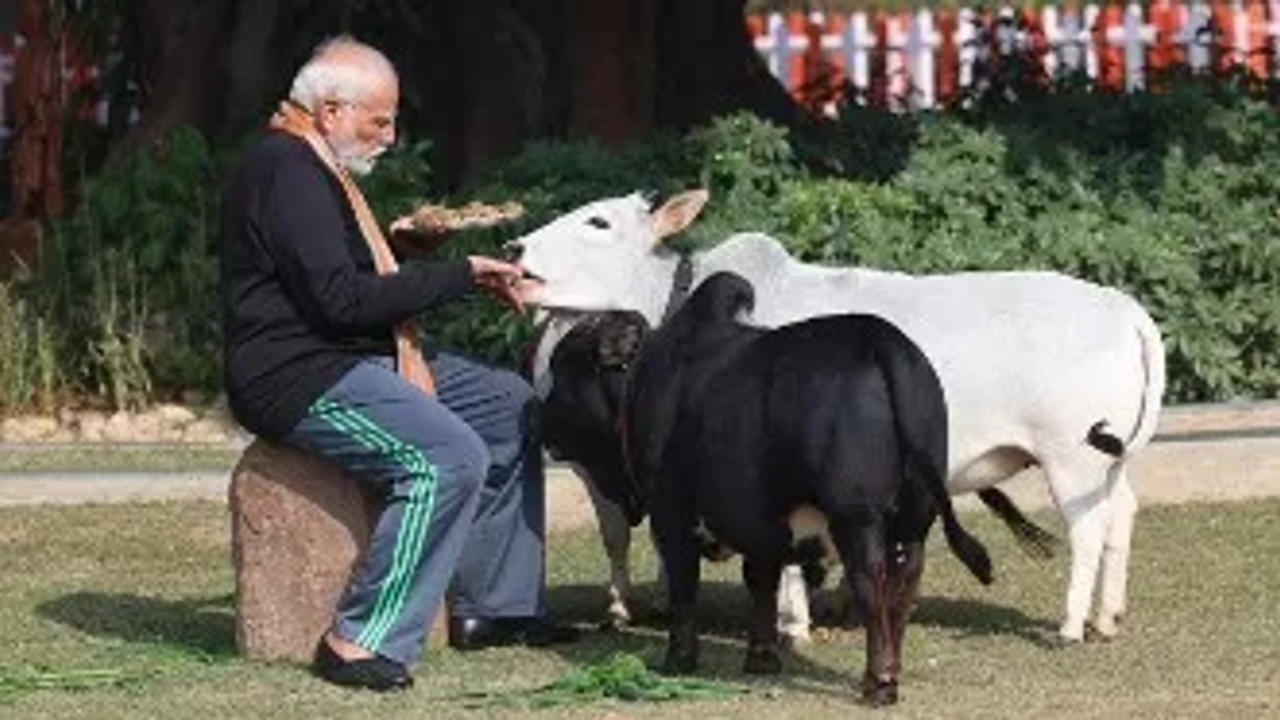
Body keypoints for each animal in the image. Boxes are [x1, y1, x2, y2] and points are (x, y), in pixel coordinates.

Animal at [512, 185, 1162, 638]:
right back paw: (1108, 616)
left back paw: (1072, 624)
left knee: (1089, 527)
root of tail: (1122, 306)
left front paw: (792, 620)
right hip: (1106, 462)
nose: (513, 248)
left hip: (1070, 456)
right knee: (1121, 514)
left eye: (599, 222)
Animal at [545, 271, 993, 702]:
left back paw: (877, 681)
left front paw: (679, 659)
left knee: (872, 581)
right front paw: (761, 657)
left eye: (562, 373)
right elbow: (760, 580)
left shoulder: (671, 512)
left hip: (857, 518)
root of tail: (880, 338)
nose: (539, 415)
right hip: (915, 519)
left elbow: (686, 585)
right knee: (905, 582)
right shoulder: (760, 524)